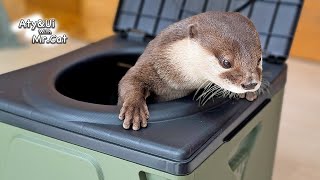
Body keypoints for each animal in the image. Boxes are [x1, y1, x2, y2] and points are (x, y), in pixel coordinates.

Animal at [117, 11, 262, 130]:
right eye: (226, 62)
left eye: (259, 59)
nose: (250, 84)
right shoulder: (151, 63)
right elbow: (129, 79)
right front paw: (135, 110)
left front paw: (249, 93)